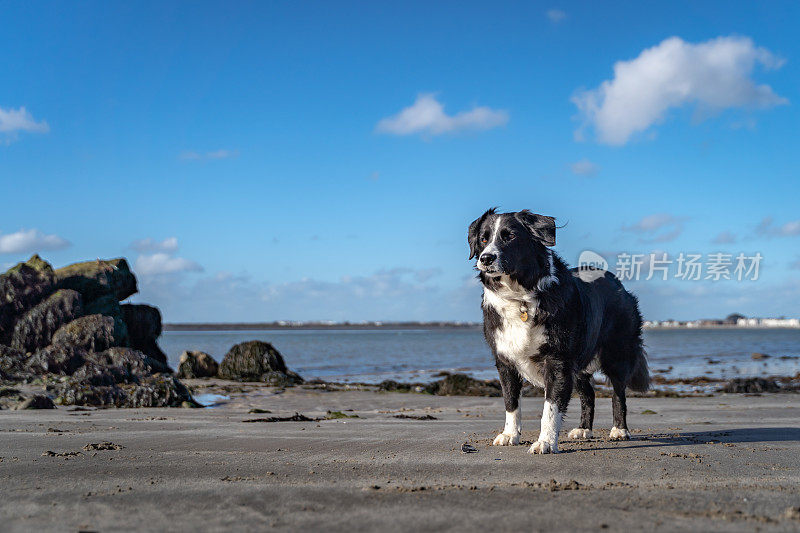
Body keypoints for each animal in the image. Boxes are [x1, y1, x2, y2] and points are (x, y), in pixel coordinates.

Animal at [468, 208, 648, 454]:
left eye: (510, 236)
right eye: (483, 239)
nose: (485, 258)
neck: (521, 296)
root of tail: (617, 283)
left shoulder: (558, 360)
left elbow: (550, 408)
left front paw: (545, 441)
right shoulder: (505, 360)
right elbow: (511, 401)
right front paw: (510, 434)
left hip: (617, 354)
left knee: (618, 392)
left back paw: (620, 430)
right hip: (581, 362)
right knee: (588, 393)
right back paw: (584, 429)